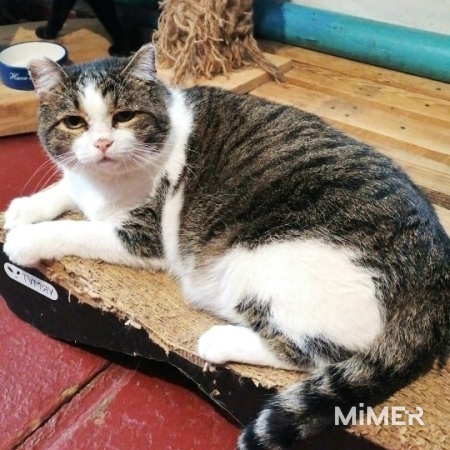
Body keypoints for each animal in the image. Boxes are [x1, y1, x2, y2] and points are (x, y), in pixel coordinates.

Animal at [4, 44, 449, 449]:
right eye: (74, 122)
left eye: (124, 116)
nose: (101, 145)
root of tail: (432, 282)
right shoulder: (85, 188)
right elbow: (65, 187)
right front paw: (22, 210)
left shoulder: (140, 236)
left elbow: (74, 230)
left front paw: (24, 241)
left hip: (260, 263)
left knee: (315, 354)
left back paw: (217, 340)